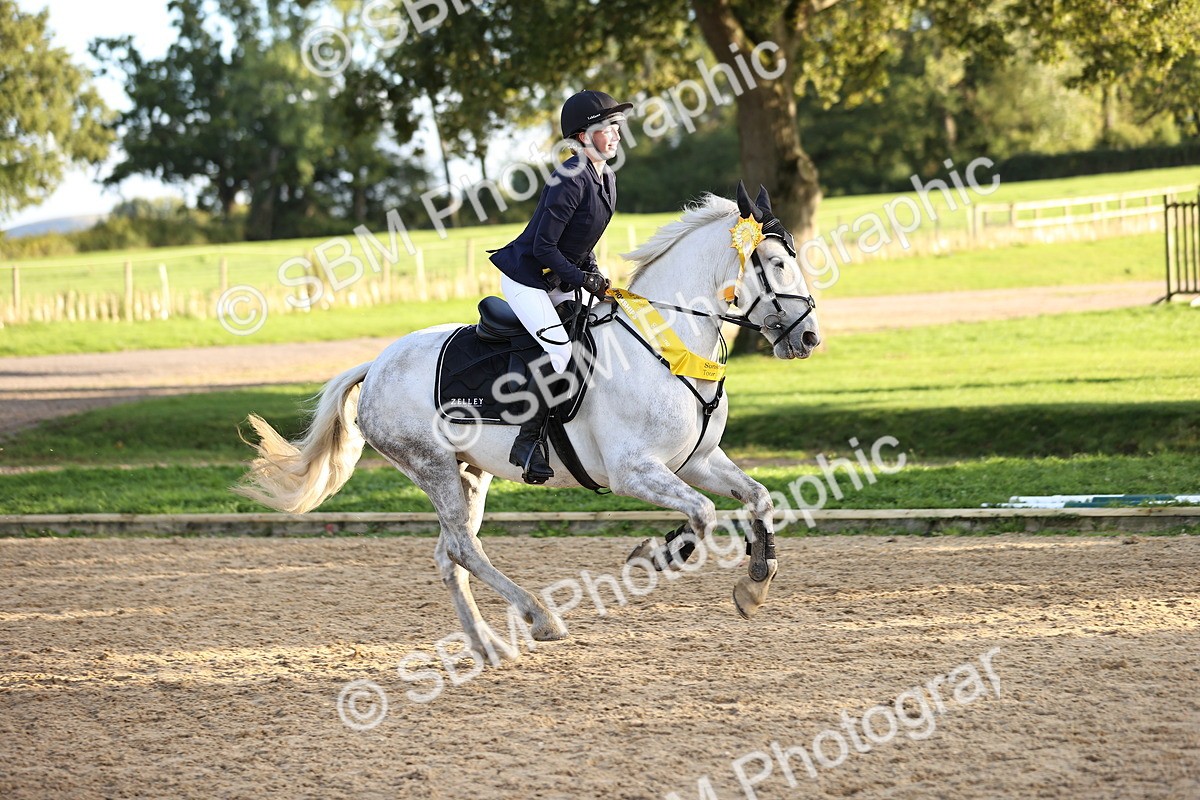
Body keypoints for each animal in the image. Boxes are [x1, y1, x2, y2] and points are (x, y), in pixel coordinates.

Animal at [235, 182, 821, 658]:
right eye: (776, 263)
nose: (810, 338)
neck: (667, 344)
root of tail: (376, 365)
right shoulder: (634, 471)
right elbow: (702, 515)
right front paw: (653, 556)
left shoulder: (696, 460)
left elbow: (757, 498)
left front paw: (754, 585)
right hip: (432, 466)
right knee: (463, 549)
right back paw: (541, 618)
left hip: (469, 473)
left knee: (449, 554)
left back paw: (490, 647)